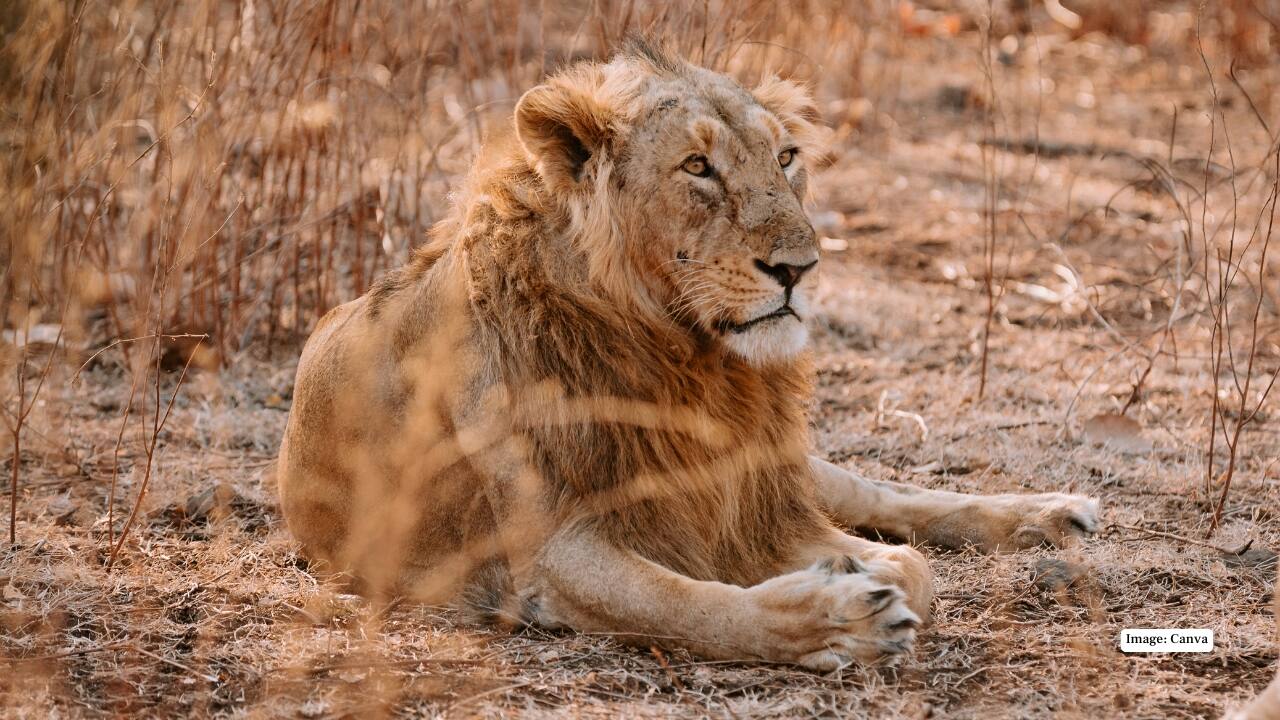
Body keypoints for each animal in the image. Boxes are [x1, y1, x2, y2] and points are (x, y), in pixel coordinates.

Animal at [276, 40, 1100, 670]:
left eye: (787, 156)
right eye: (697, 167)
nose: (801, 267)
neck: (687, 359)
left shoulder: (738, 485)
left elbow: (909, 562)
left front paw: (857, 571)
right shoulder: (552, 551)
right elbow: (693, 604)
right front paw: (835, 620)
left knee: (876, 491)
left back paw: (1053, 512)